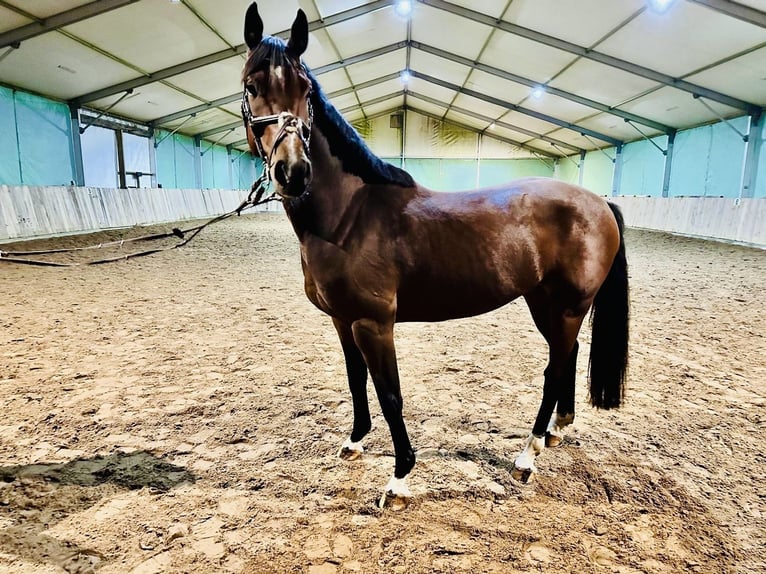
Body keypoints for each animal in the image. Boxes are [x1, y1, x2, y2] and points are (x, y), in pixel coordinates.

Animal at [240, 3, 632, 508]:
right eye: (252, 86)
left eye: (305, 89)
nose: (292, 171)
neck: (349, 214)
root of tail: (599, 202)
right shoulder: (342, 320)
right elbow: (356, 380)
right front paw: (355, 440)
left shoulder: (373, 323)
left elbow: (390, 394)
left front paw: (399, 478)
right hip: (546, 304)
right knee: (568, 356)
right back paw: (555, 431)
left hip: (566, 307)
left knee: (552, 369)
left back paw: (527, 456)